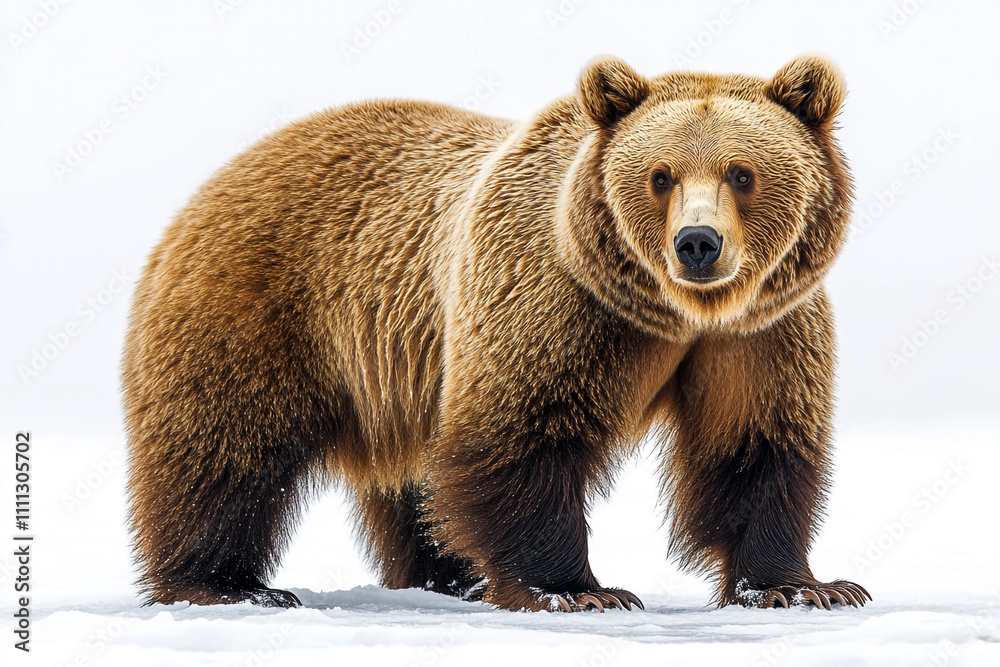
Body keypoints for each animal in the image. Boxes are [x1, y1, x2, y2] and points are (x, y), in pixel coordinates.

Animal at [122, 54, 870, 613]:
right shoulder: (550, 300)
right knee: (226, 447)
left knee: (417, 484)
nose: (697, 243)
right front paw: (576, 589)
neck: (673, 314)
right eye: (661, 176)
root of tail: (222, 173)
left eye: (742, 172)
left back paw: (451, 577)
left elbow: (754, 447)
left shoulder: (761, 332)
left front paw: (803, 586)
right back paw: (228, 584)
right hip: (262, 306)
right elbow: (522, 436)